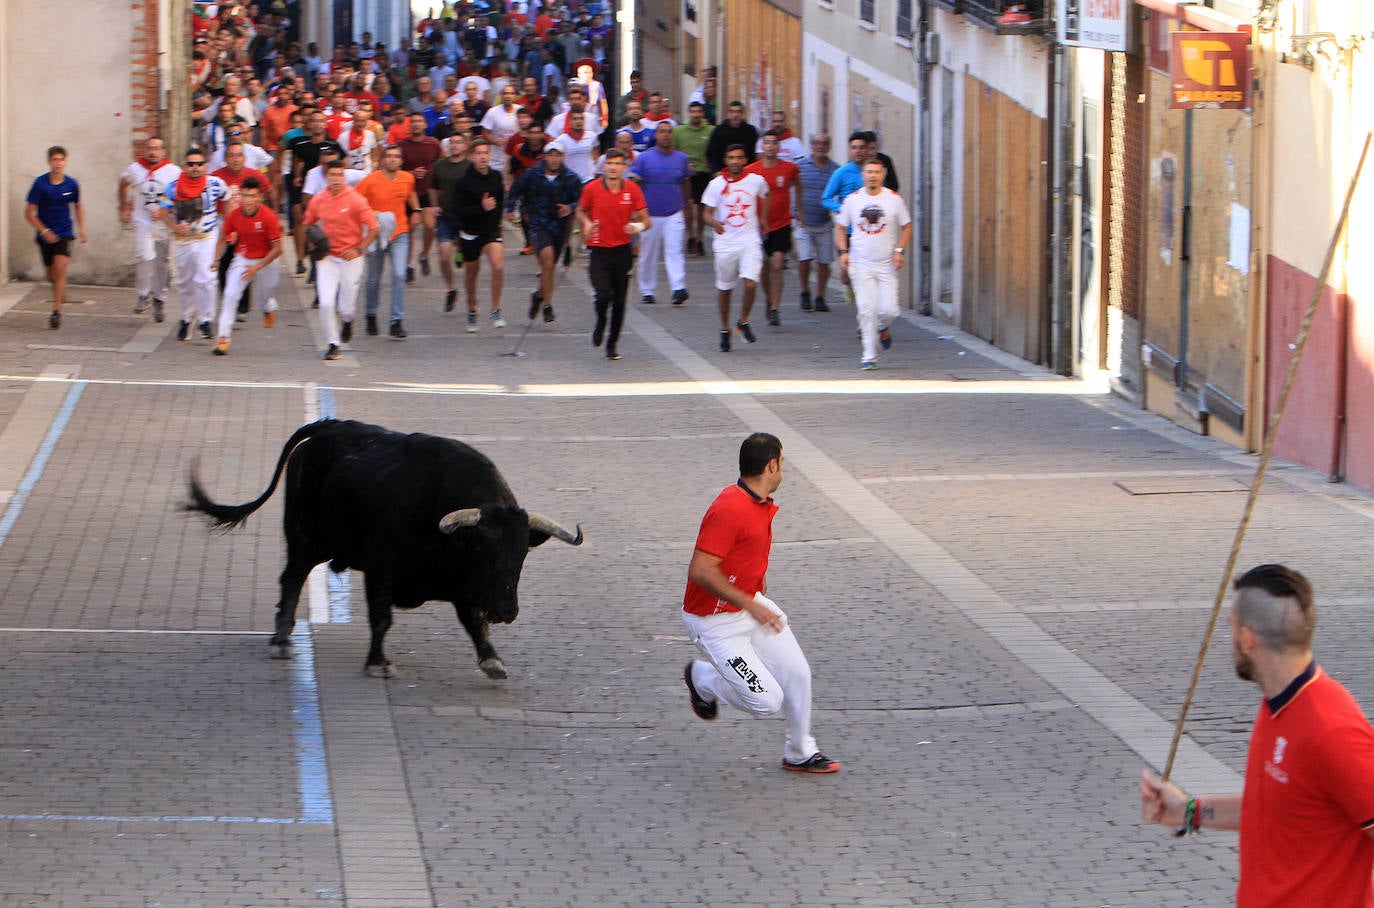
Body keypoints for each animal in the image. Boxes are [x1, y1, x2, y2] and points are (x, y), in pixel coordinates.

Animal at [185, 417, 582, 673]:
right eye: (483, 551)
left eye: (522, 554)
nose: (505, 610)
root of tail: (327, 428)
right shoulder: (381, 568)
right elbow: (381, 617)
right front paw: (377, 662)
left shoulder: (463, 586)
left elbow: (474, 622)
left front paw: (492, 659)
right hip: (304, 538)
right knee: (292, 578)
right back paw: (281, 639)